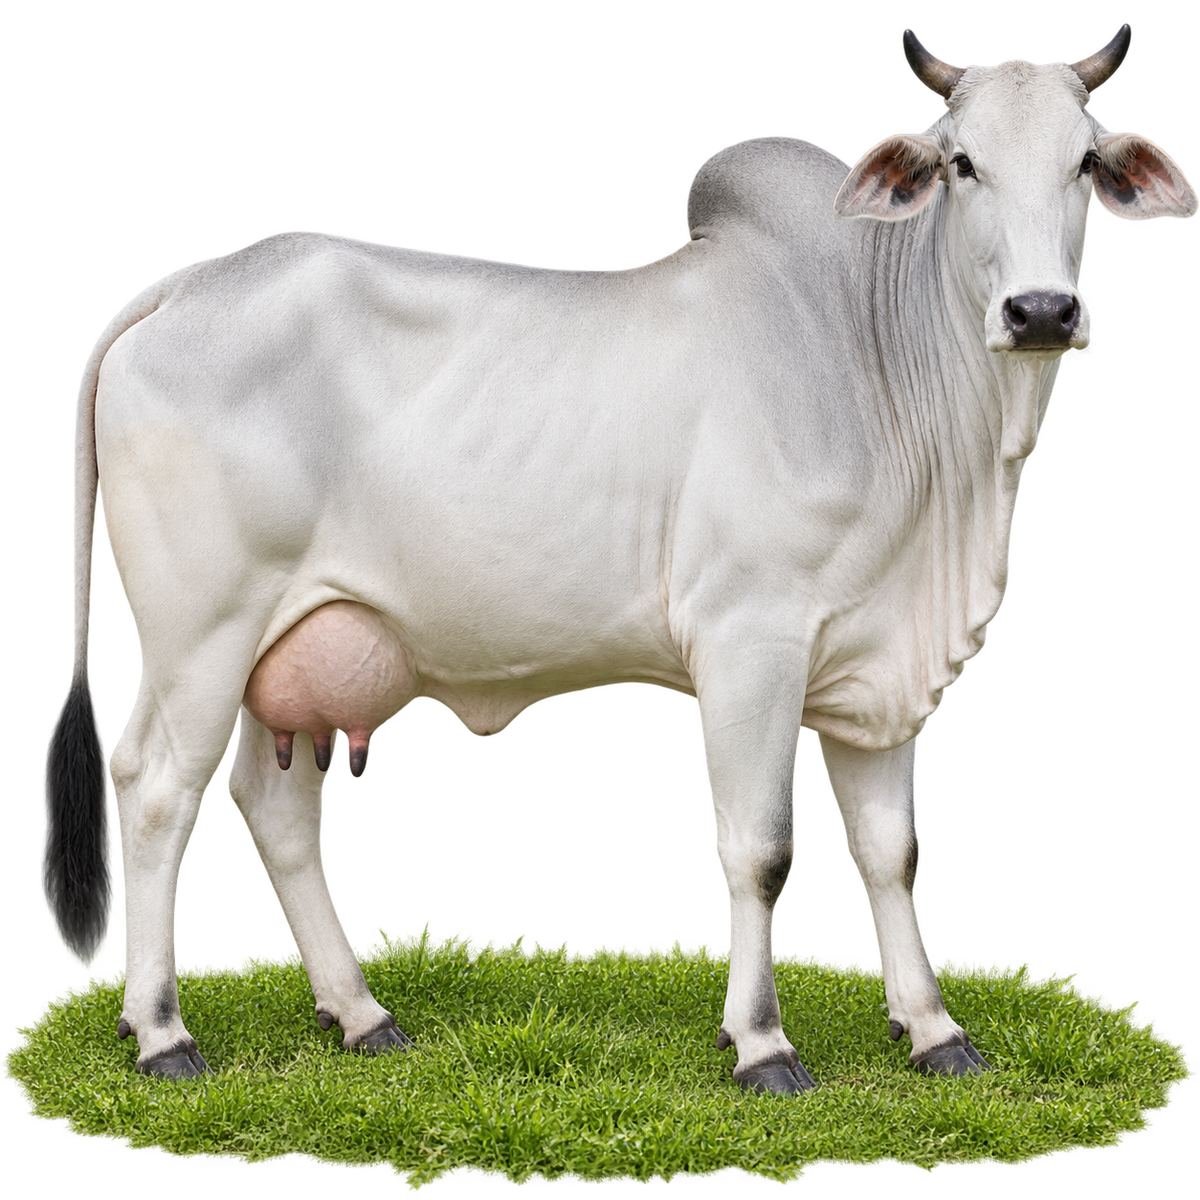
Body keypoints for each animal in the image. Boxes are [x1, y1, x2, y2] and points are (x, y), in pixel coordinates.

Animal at [42, 23, 1196, 1093]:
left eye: (1086, 161)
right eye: (961, 162)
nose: (1042, 312)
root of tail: (182, 288)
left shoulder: (879, 671)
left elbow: (891, 856)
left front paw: (935, 1032)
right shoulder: (749, 645)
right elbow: (761, 853)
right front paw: (762, 1046)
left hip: (286, 646)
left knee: (273, 810)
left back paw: (361, 1017)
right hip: (201, 636)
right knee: (155, 791)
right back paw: (161, 1034)